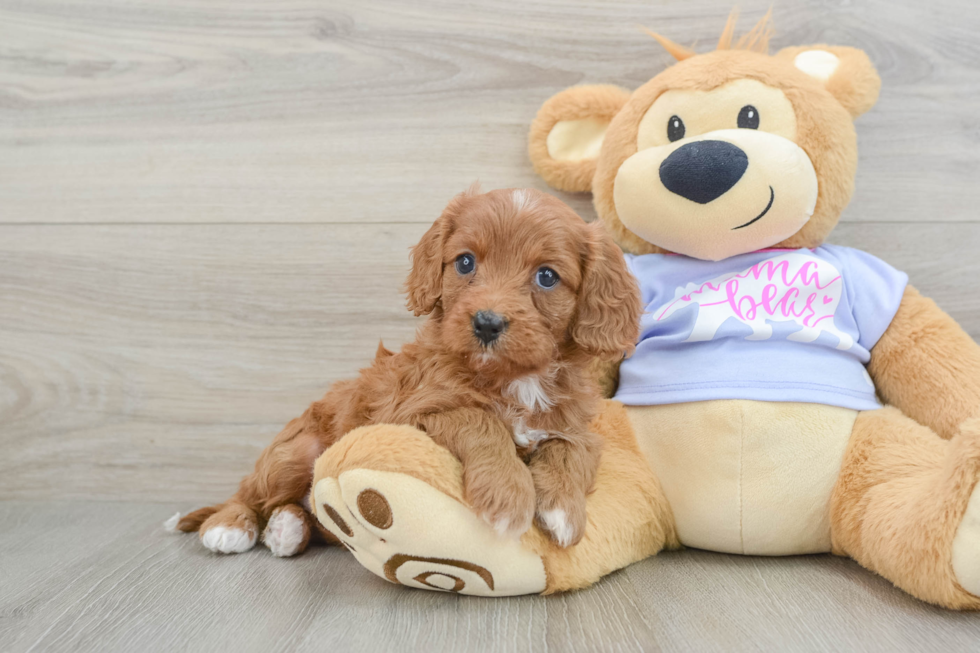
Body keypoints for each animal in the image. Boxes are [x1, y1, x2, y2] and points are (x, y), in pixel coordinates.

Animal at [172, 187, 640, 556]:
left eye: (546, 276)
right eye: (465, 263)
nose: (486, 323)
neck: (514, 379)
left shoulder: (576, 425)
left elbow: (571, 450)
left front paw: (563, 510)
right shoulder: (408, 414)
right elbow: (478, 419)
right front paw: (508, 495)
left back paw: (287, 529)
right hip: (295, 451)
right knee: (248, 491)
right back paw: (230, 526)